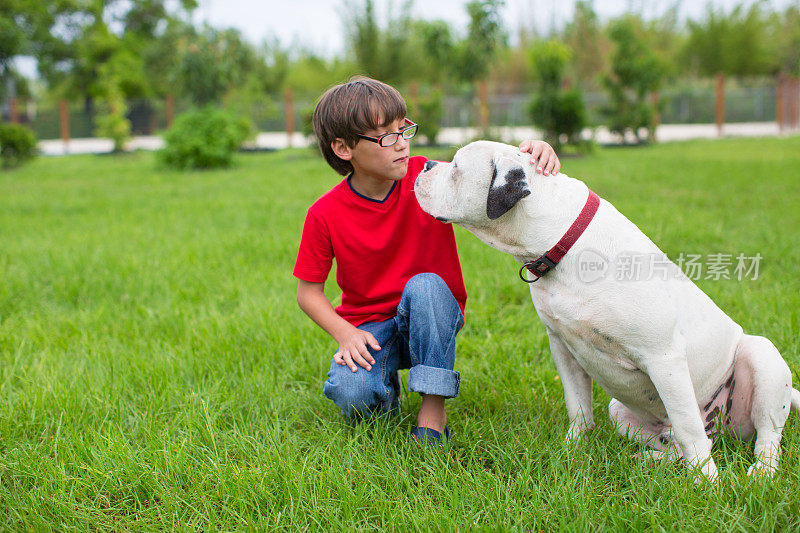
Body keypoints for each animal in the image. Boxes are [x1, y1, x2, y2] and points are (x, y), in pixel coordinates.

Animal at [416, 139, 796, 480]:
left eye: (456, 168)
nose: (426, 165)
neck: (562, 241)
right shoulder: (562, 346)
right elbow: (578, 407)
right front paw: (572, 449)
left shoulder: (664, 358)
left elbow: (689, 426)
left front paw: (707, 482)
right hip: (621, 412)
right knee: (680, 440)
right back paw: (653, 460)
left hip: (761, 357)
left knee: (764, 436)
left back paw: (760, 473)